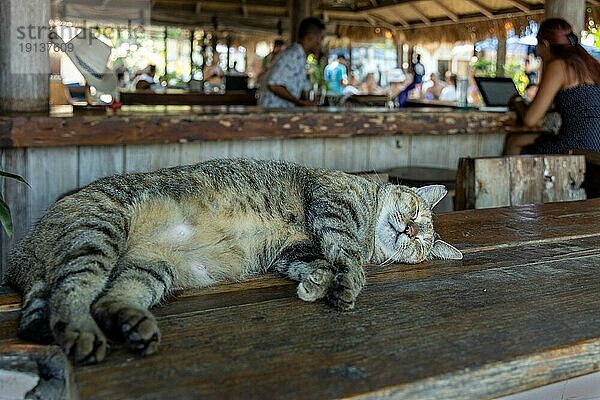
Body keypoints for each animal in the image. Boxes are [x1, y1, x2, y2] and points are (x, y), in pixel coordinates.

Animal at [7, 158, 462, 364]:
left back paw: (134, 327)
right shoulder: (331, 203)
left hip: (150, 268)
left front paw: (316, 284)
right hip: (98, 233)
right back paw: (83, 334)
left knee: (105, 300)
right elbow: (346, 256)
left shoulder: (288, 250)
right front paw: (345, 285)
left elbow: (316, 262)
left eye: (422, 244)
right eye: (415, 212)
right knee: (71, 293)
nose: (412, 233)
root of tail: (26, 250)